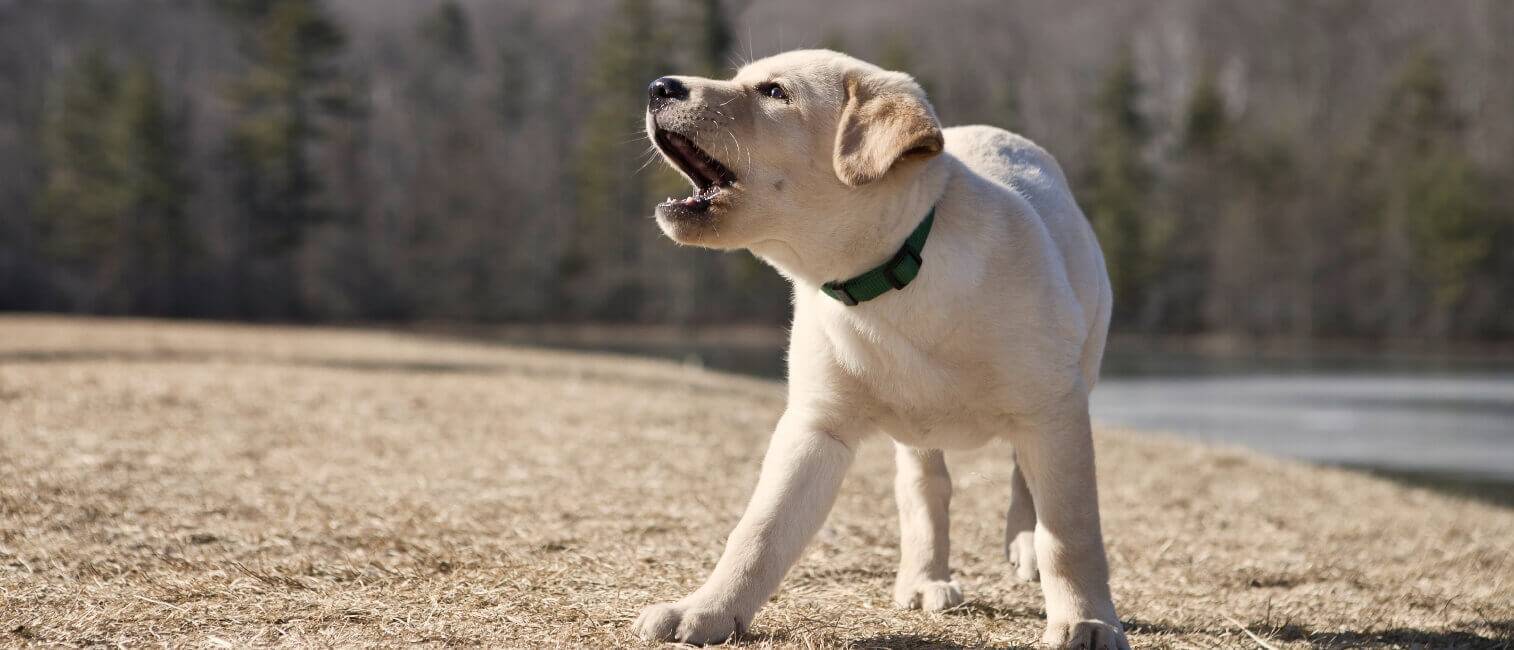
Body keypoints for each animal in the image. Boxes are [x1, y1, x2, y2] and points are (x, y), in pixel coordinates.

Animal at [635, 51, 1126, 648]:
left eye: (774, 92)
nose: (659, 86)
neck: (891, 278)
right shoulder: (816, 426)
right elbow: (760, 530)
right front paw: (707, 610)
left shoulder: (1053, 409)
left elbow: (1070, 532)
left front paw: (1085, 620)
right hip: (919, 432)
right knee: (925, 491)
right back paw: (924, 579)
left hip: (1077, 371)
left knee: (1023, 479)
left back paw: (1022, 544)